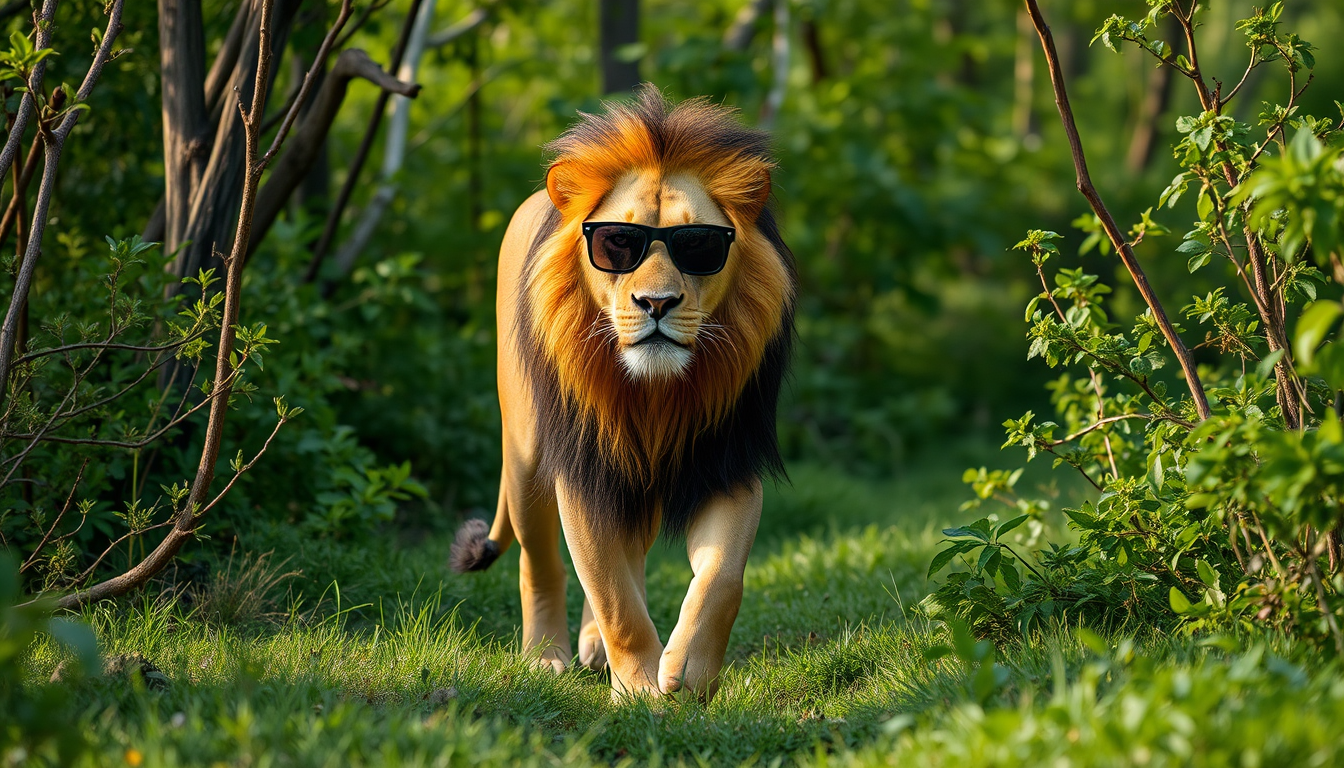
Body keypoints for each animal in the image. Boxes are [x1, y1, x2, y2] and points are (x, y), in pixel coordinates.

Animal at [450, 86, 795, 701]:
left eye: (698, 245)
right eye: (618, 242)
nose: (656, 302)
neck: (653, 392)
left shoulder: (726, 463)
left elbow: (721, 577)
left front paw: (688, 672)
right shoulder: (583, 467)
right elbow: (613, 595)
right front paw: (639, 689)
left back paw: (592, 647)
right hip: (527, 455)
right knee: (540, 562)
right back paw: (546, 656)